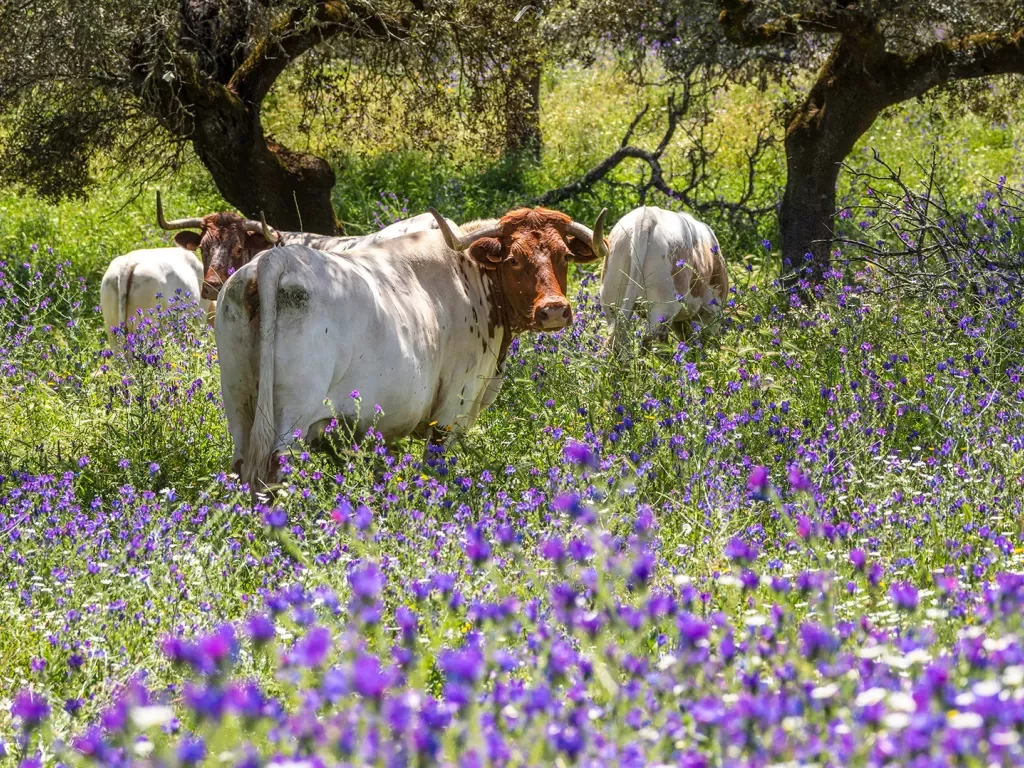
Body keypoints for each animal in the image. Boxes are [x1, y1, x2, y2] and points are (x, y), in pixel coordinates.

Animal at [212, 205, 602, 487]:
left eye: (563, 255)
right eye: (513, 259)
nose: (554, 309)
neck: (470, 277)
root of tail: (274, 260)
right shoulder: (453, 407)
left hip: (239, 404)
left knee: (242, 465)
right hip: (289, 420)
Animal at [598, 202, 733, 350]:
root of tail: (646, 217)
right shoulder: (712, 309)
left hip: (612, 301)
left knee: (618, 339)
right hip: (663, 308)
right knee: (651, 341)